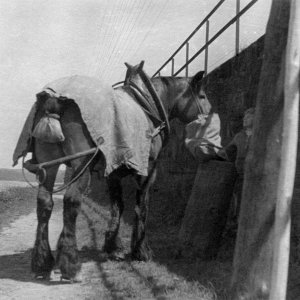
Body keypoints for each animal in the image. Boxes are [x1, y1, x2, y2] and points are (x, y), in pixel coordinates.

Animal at [24, 62, 211, 282]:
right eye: (202, 96)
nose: (210, 117)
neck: (147, 106)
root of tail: (55, 100)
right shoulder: (147, 170)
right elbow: (142, 207)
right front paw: (141, 251)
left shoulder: (113, 173)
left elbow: (118, 206)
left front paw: (112, 246)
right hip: (81, 165)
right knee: (71, 201)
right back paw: (70, 264)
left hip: (49, 165)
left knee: (44, 203)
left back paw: (42, 261)